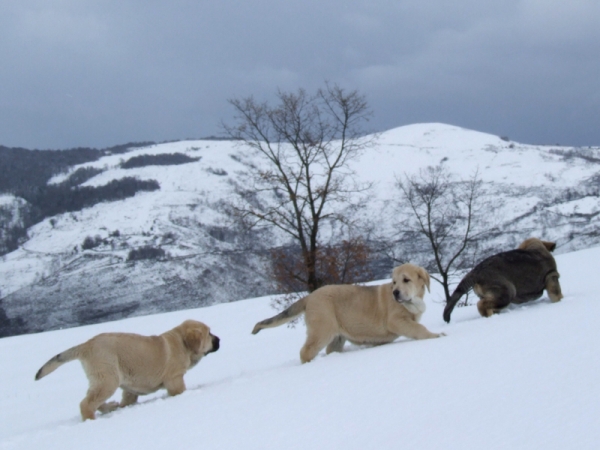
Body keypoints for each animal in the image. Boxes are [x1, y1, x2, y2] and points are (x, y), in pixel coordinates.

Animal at [34, 318, 220, 420]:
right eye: (209, 333)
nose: (219, 339)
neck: (182, 342)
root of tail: (86, 345)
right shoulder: (174, 379)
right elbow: (180, 391)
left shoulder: (131, 388)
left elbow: (128, 400)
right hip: (108, 379)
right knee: (86, 403)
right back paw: (91, 419)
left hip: (103, 380)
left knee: (95, 401)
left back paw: (110, 407)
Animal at [251, 264, 442, 362]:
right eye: (394, 282)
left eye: (406, 280)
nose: (395, 293)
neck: (412, 302)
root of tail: (310, 296)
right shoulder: (397, 321)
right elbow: (419, 329)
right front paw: (436, 335)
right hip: (322, 329)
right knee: (306, 351)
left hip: (337, 337)